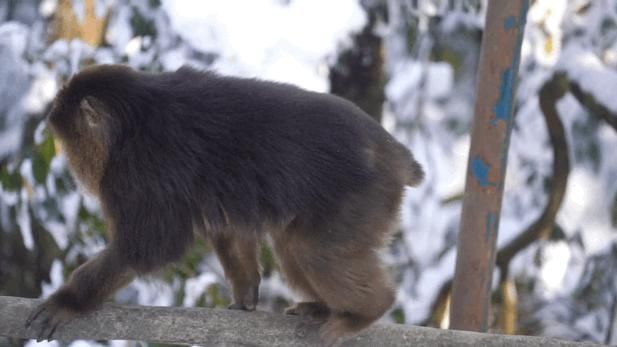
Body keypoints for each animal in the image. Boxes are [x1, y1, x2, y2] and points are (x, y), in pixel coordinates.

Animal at [27, 64, 424, 346]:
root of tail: (395, 153)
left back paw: (365, 312)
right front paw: (246, 293)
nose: (72, 166)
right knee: (294, 246)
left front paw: (69, 300)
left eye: (71, 143)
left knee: (314, 250)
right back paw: (325, 307)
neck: (131, 122)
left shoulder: (138, 171)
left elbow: (151, 246)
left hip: (364, 194)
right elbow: (227, 226)